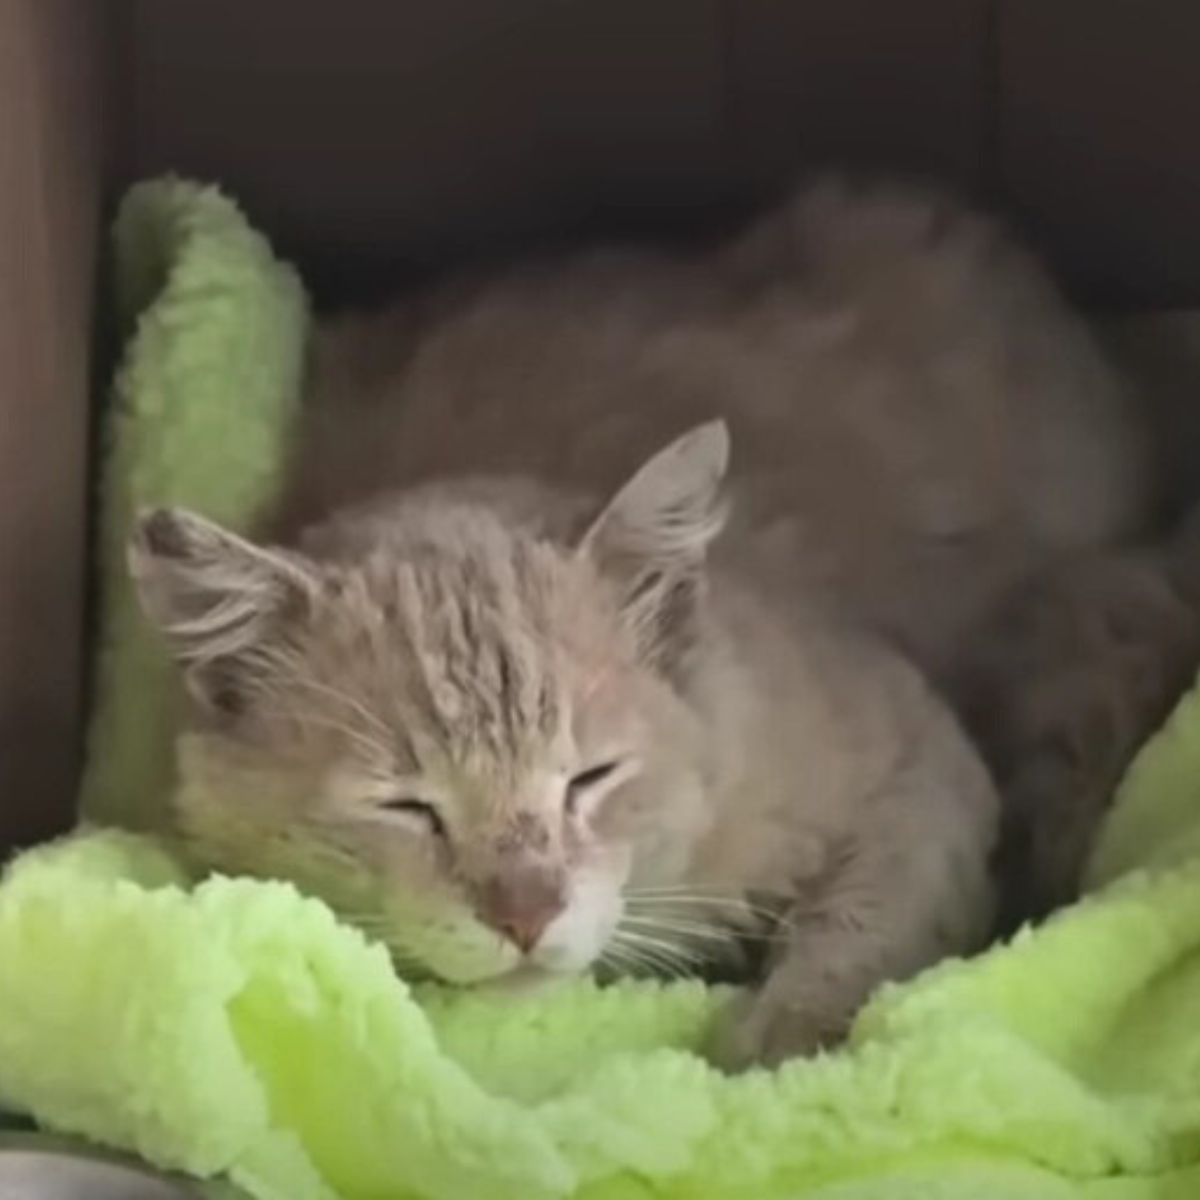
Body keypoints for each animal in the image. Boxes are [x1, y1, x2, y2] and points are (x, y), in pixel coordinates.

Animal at [126, 180, 1195, 1070]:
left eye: (590, 779)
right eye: (407, 806)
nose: (527, 912)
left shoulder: (924, 764)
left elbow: (868, 920)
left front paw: (790, 1035)